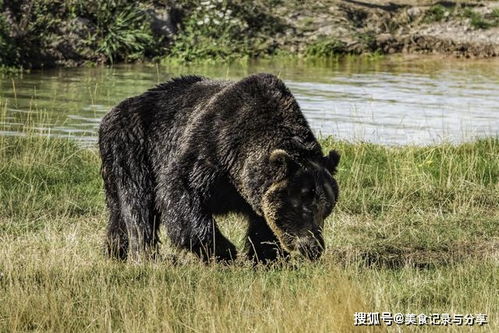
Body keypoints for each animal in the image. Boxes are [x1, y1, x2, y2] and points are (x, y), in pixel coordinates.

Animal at [97, 72, 340, 262]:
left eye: (326, 210)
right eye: (304, 208)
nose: (314, 248)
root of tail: (111, 112)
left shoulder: (253, 188)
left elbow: (262, 224)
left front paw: (266, 256)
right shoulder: (210, 146)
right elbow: (180, 193)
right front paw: (225, 251)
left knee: (118, 212)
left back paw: (115, 251)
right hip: (132, 149)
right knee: (137, 206)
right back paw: (144, 255)